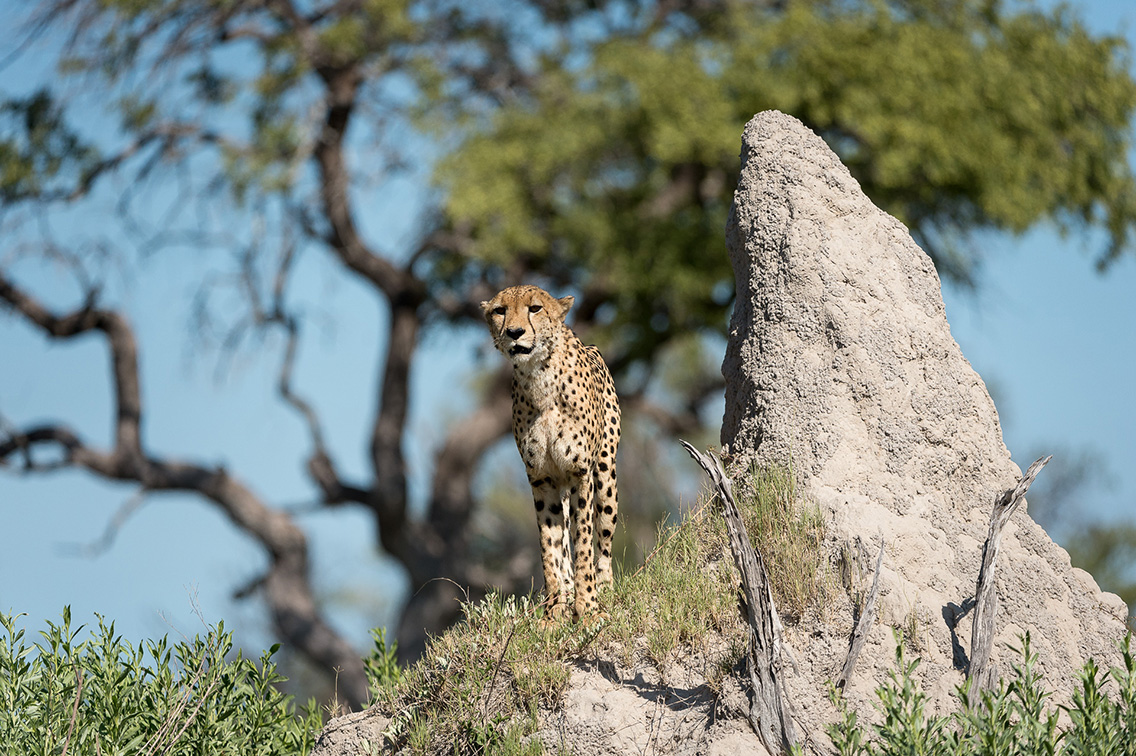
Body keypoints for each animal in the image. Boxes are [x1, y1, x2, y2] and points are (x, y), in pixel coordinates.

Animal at [481, 284, 621, 622]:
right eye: (500, 311)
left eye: (534, 308)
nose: (515, 332)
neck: (538, 377)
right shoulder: (541, 479)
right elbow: (550, 545)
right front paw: (555, 610)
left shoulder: (580, 473)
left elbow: (583, 542)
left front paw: (588, 608)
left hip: (605, 474)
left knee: (604, 538)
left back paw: (604, 588)